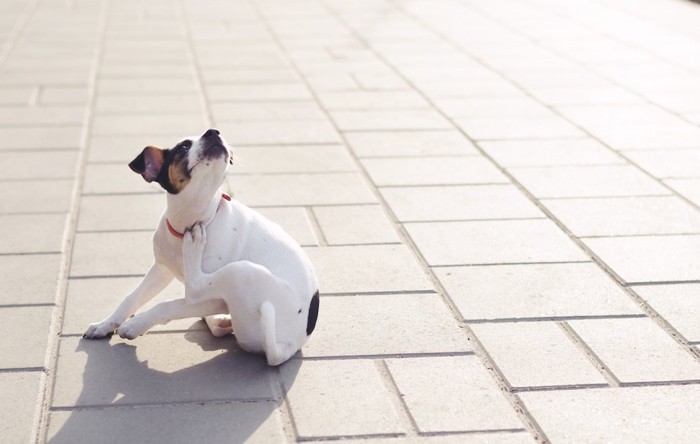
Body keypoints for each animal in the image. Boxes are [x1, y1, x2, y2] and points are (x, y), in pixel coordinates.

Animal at [82, 127, 320, 364]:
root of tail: (287, 347)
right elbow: (131, 298)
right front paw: (105, 324)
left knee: (195, 286)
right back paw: (221, 321)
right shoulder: (161, 269)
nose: (213, 132)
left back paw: (194, 249)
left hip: (240, 272)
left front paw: (135, 324)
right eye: (184, 146)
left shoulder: (213, 299)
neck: (190, 222)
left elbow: (169, 305)